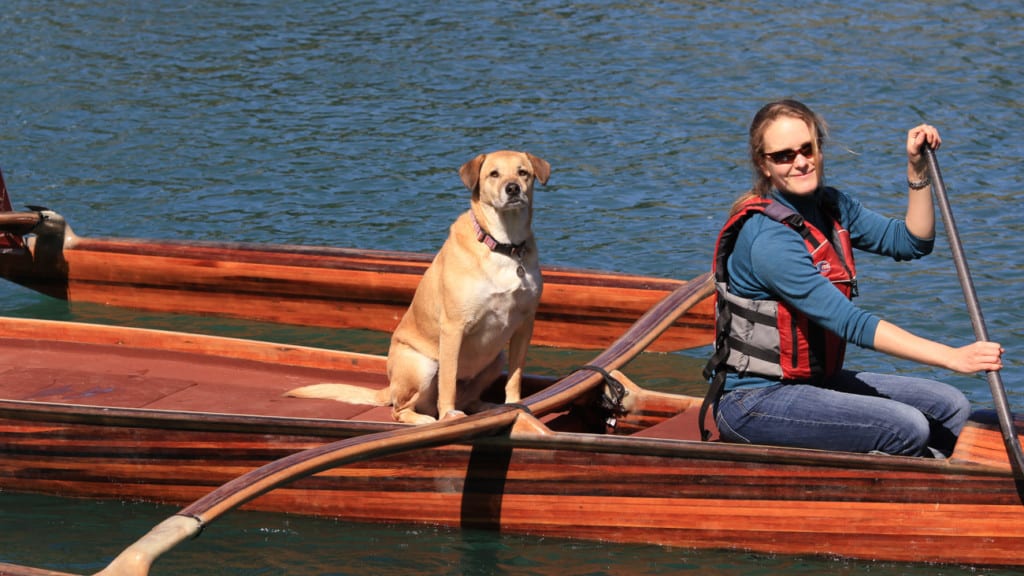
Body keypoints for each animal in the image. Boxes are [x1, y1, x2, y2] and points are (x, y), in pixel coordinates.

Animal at [284, 150, 548, 424]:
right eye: (493, 174)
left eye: (522, 172)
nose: (513, 188)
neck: (504, 246)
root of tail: (389, 386)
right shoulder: (454, 327)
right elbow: (448, 383)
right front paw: (448, 417)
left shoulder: (524, 323)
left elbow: (515, 377)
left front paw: (516, 404)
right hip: (422, 365)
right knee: (400, 409)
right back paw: (426, 419)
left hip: (495, 360)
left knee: (468, 398)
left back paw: (485, 406)